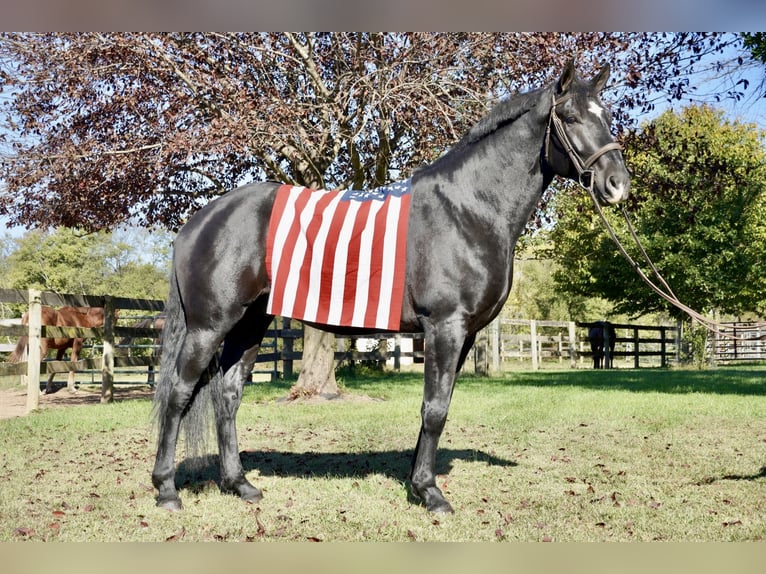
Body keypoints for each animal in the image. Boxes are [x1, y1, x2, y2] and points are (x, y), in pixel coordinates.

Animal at [152, 60, 631, 514]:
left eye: (607, 115)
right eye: (569, 116)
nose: (617, 184)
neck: (470, 207)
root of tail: (199, 221)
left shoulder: (463, 335)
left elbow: (437, 407)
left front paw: (418, 482)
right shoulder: (445, 327)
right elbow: (435, 409)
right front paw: (431, 493)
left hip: (249, 324)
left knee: (227, 396)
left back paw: (240, 485)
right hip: (208, 327)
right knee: (178, 394)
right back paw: (166, 490)